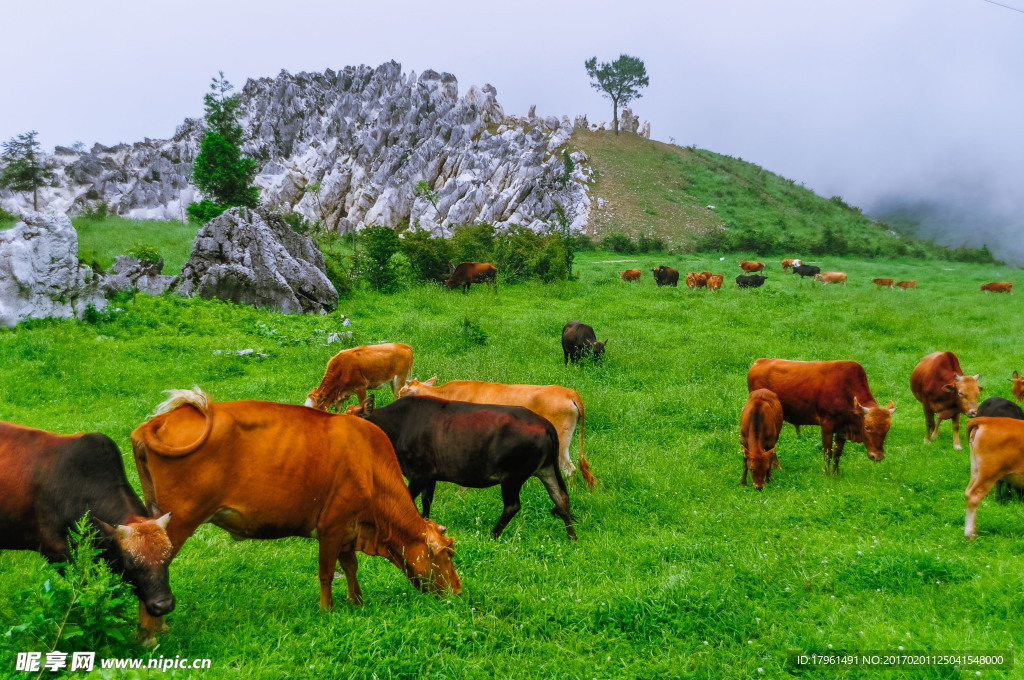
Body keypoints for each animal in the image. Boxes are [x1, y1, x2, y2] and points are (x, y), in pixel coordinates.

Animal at [132, 387, 460, 630]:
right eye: (447, 555)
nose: (458, 590)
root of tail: (155, 422)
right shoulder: (332, 525)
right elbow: (327, 571)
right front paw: (327, 610)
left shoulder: (349, 528)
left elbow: (350, 566)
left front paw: (357, 601)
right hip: (178, 523)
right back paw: (153, 632)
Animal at [348, 395, 577, 540]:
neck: (397, 427)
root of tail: (545, 423)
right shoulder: (430, 475)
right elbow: (426, 502)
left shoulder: (419, 473)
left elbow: (408, 500)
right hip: (546, 469)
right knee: (560, 497)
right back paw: (571, 536)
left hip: (512, 476)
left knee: (512, 506)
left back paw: (492, 534)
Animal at [745, 358, 897, 475]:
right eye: (867, 427)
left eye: (887, 429)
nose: (877, 456)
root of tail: (759, 362)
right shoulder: (827, 425)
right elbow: (827, 453)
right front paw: (827, 473)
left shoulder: (842, 429)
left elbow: (837, 453)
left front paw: (836, 473)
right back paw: (777, 467)